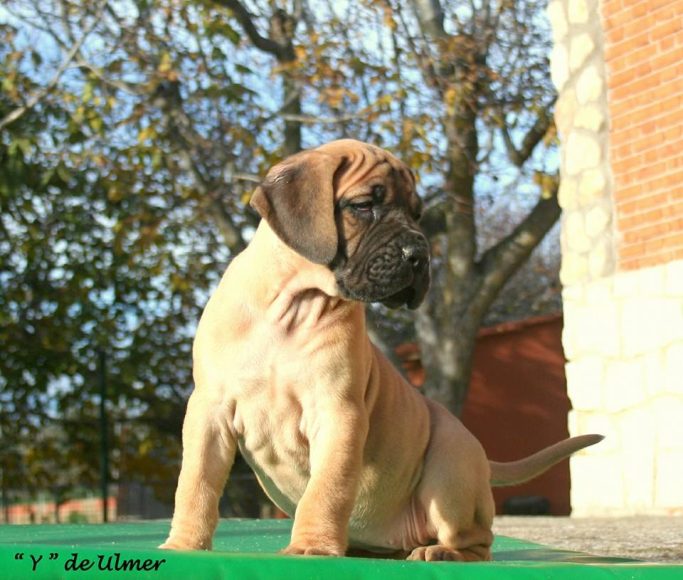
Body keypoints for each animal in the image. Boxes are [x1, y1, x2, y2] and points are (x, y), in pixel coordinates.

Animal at [162, 138, 604, 560]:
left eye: (418, 215)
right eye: (363, 206)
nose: (420, 255)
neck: (293, 306)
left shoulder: (337, 412)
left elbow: (326, 488)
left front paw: (311, 546)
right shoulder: (210, 411)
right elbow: (195, 483)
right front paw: (183, 543)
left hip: (449, 470)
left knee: (478, 540)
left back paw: (440, 552)